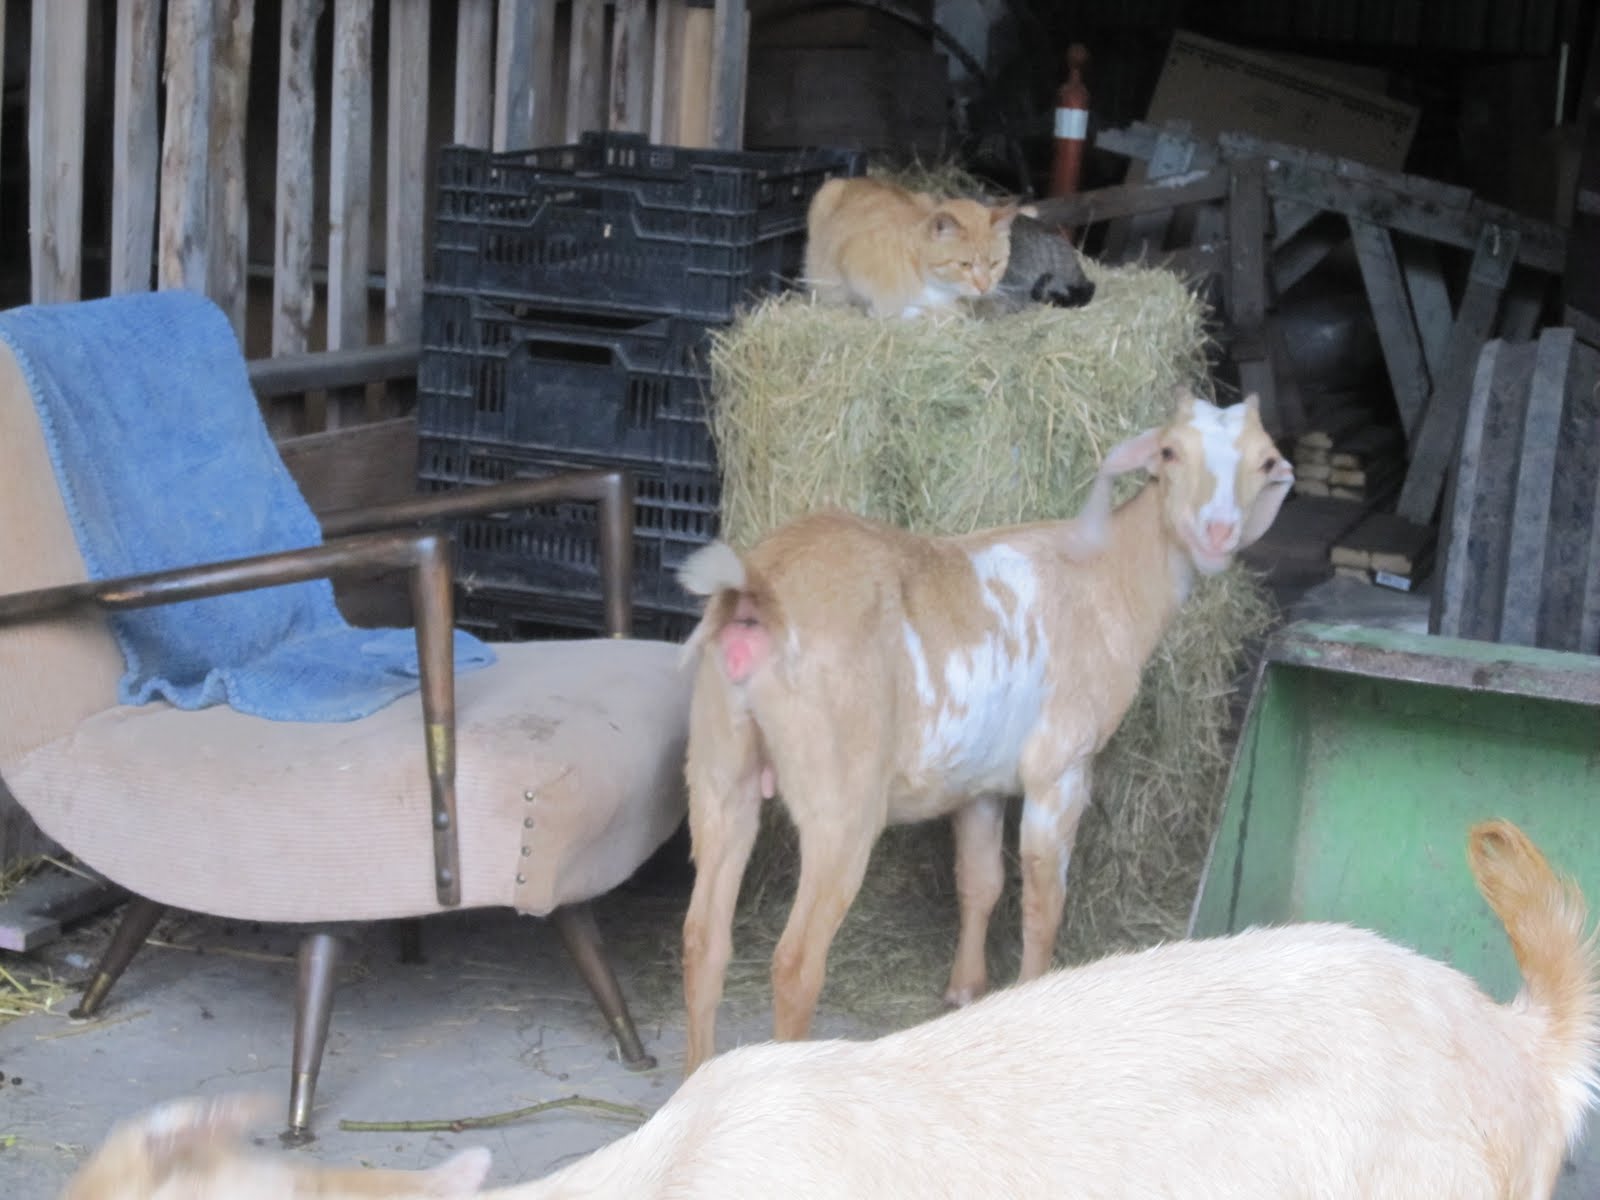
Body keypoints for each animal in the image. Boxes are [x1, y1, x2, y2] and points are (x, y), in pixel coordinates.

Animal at [675, 388, 1293, 1072]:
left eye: (1266, 461)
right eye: (1169, 452)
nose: (1218, 532)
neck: (1109, 578)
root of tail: (756, 593)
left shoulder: (980, 785)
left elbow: (981, 883)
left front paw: (966, 990)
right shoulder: (1060, 768)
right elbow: (1044, 899)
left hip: (717, 768)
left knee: (703, 942)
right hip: (840, 799)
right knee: (795, 962)